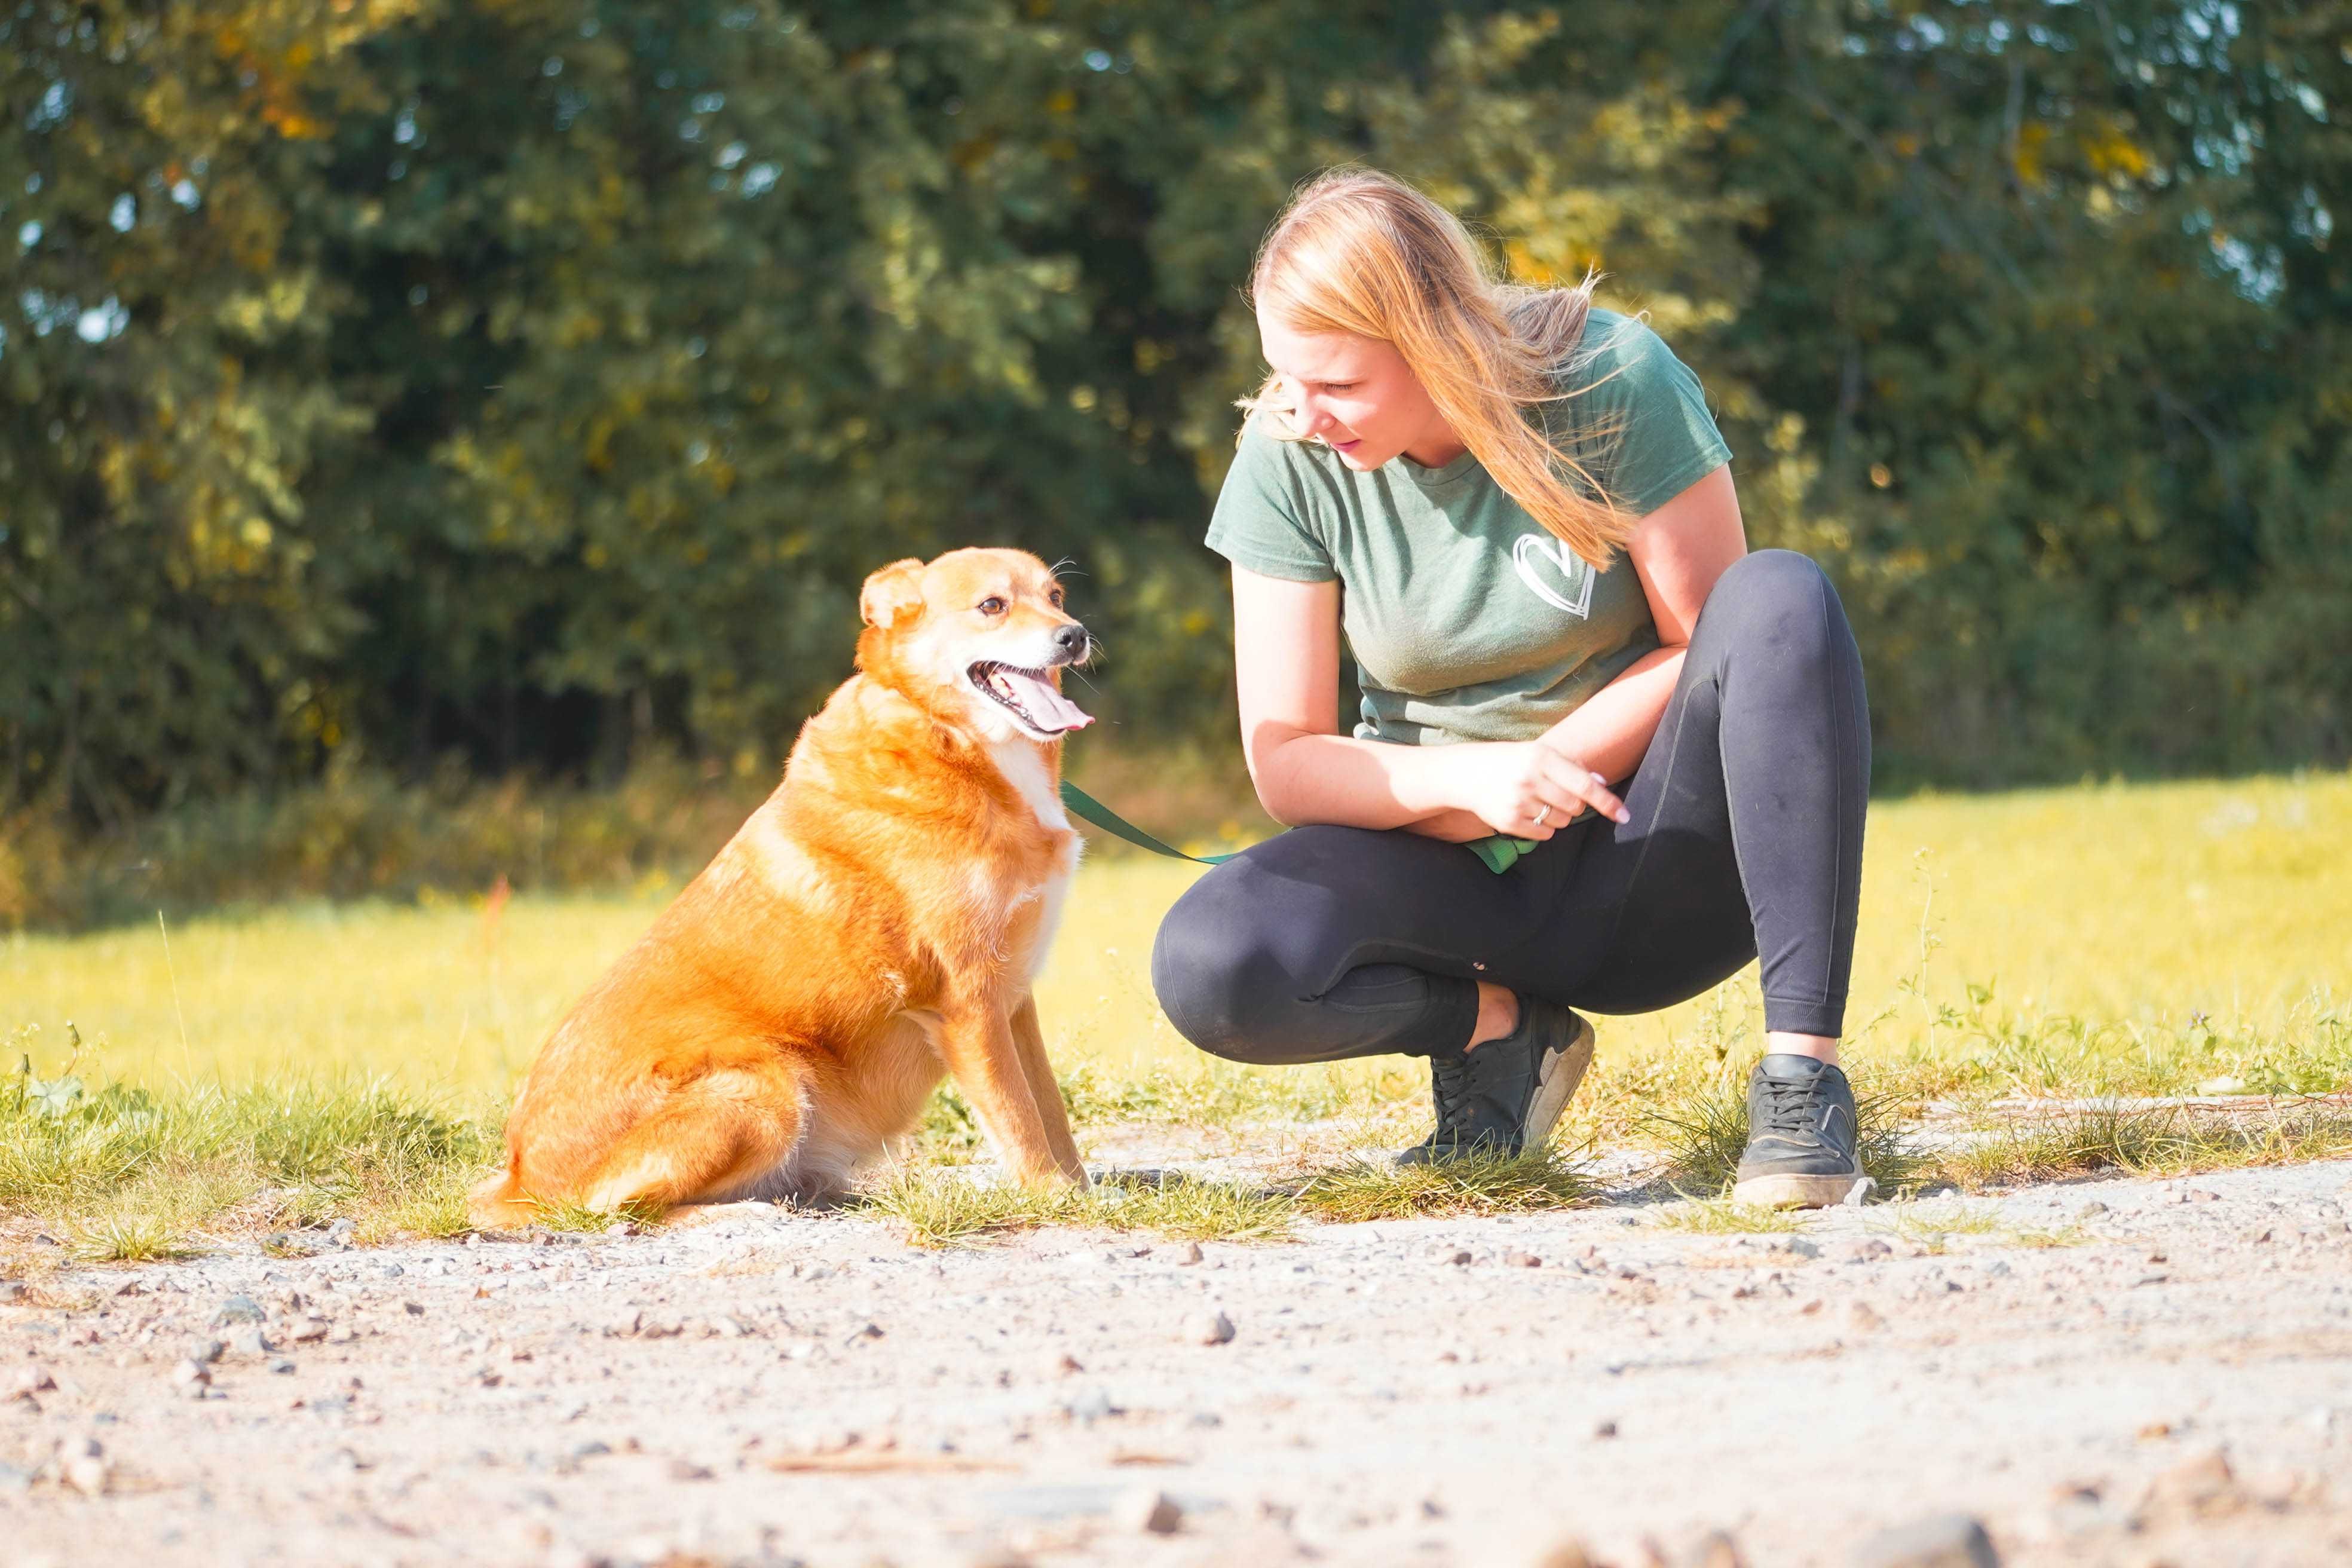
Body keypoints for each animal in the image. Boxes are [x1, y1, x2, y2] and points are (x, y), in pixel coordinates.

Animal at [477, 550, 1101, 1222]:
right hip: (765, 1083)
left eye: (1056, 596)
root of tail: (521, 1177)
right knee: (623, 1208)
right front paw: (1054, 1197)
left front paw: (1084, 1191)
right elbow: (1019, 1117)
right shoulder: (970, 1001)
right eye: (992, 605)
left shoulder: (1013, 998)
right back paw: (744, 1209)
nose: (1075, 635)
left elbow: (1049, 1109)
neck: (949, 737)